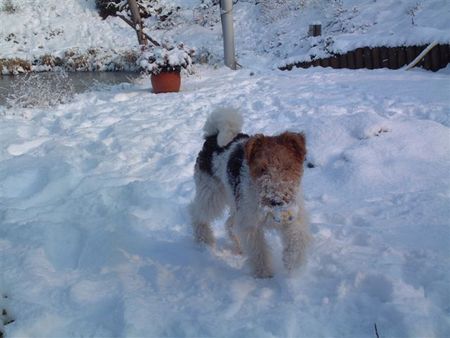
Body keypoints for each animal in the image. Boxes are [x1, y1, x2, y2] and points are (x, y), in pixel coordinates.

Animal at [188, 109, 312, 278]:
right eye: (262, 168)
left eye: (288, 166)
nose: (276, 200)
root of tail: (212, 136)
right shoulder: (251, 225)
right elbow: (259, 252)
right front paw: (264, 275)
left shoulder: (293, 216)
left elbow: (297, 240)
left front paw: (292, 264)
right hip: (211, 194)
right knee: (197, 214)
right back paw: (204, 240)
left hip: (235, 202)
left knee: (229, 224)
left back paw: (238, 247)